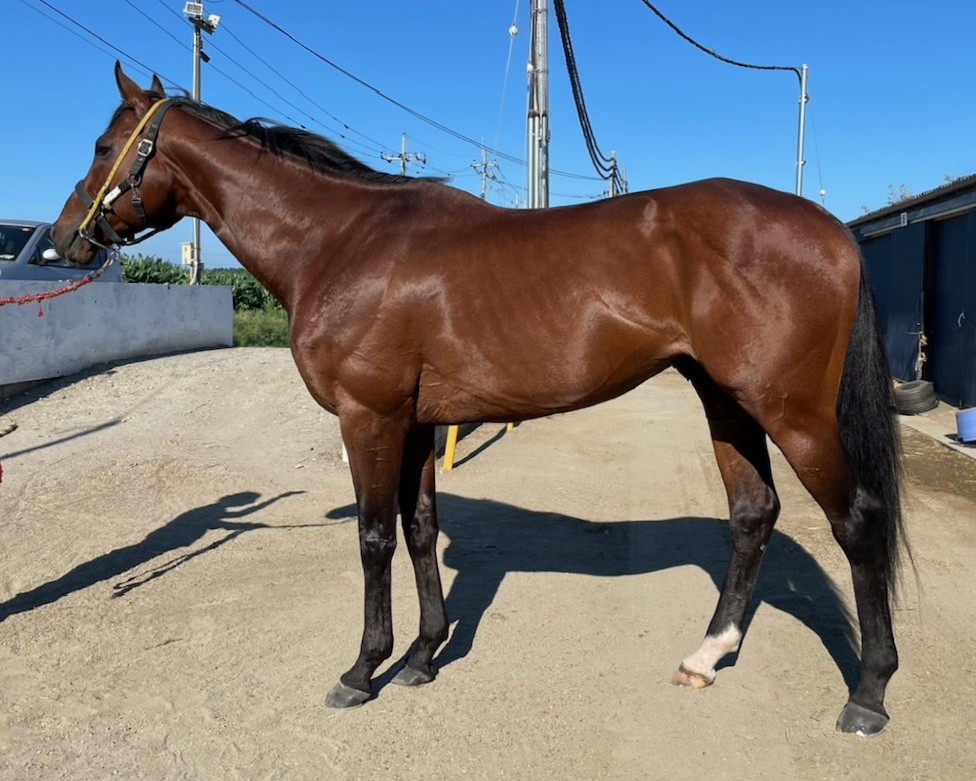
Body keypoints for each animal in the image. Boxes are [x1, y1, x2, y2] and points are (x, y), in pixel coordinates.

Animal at [52, 64, 908, 736]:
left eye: (102, 146)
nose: (64, 239)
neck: (339, 241)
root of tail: (831, 227)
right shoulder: (415, 425)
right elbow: (421, 530)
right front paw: (422, 656)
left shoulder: (370, 418)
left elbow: (373, 539)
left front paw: (362, 670)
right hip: (726, 400)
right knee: (753, 513)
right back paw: (707, 653)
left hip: (794, 413)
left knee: (857, 521)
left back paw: (868, 694)